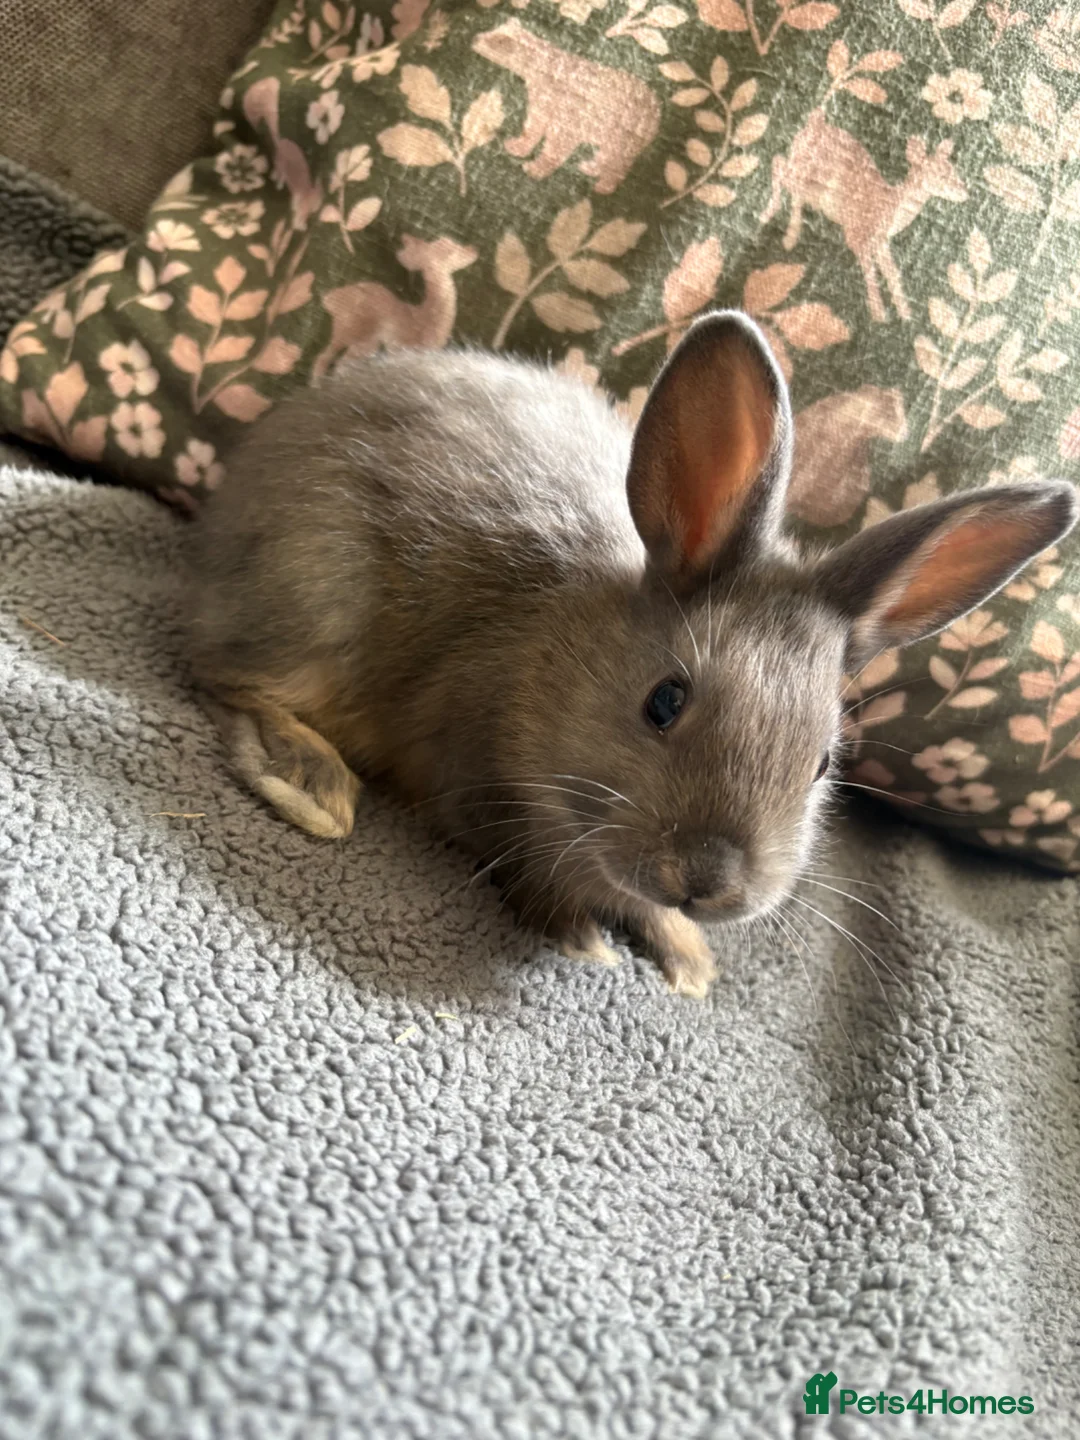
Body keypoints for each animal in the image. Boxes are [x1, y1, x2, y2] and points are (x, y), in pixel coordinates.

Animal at [188, 312, 1077, 997]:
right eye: (665, 702)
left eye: (824, 762)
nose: (709, 882)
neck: (555, 664)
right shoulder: (476, 783)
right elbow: (529, 873)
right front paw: (587, 940)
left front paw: (688, 960)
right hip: (318, 602)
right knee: (224, 673)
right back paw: (311, 785)